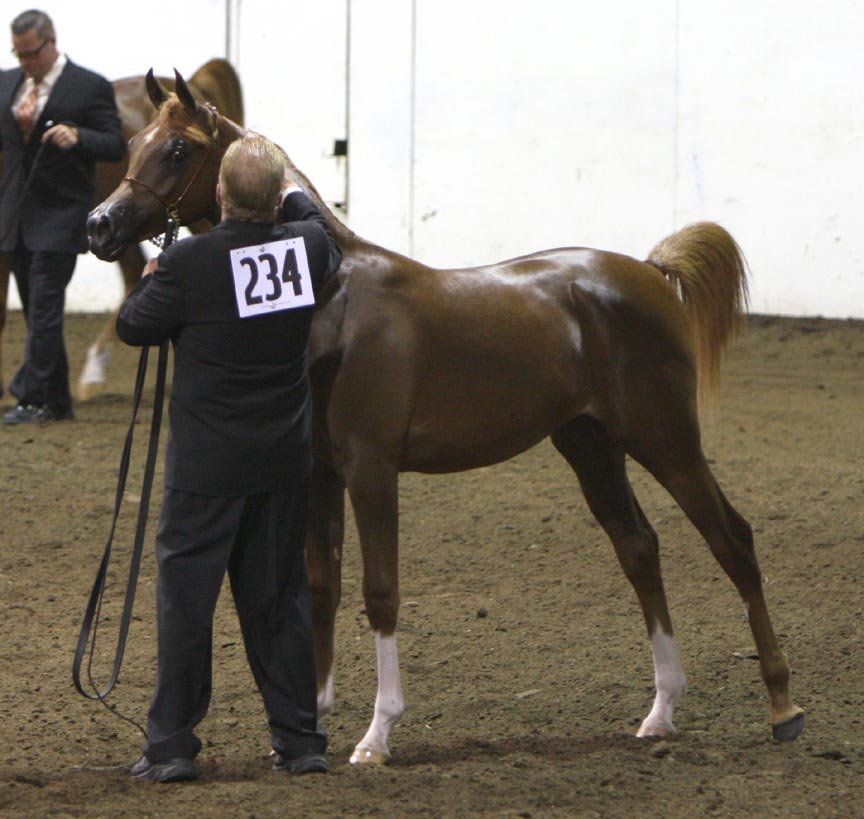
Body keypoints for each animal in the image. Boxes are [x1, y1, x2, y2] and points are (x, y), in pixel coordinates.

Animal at [86, 70, 804, 768]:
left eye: (177, 150)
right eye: (135, 141)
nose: (99, 225)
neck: (335, 295)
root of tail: (651, 272)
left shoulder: (372, 470)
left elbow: (380, 590)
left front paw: (376, 735)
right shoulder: (320, 472)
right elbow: (322, 585)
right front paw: (307, 722)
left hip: (666, 438)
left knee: (732, 540)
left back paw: (782, 708)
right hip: (590, 446)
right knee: (640, 549)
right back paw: (660, 711)